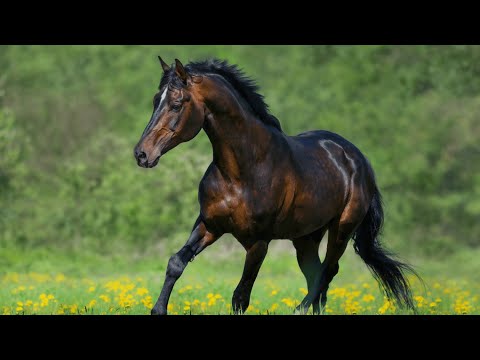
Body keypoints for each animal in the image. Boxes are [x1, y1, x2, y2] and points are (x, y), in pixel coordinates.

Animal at [133, 57, 418, 316]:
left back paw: (299, 309)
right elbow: (176, 263)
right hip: (306, 238)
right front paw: (158, 309)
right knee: (317, 274)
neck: (242, 171)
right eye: (155, 101)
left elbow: (240, 296)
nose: (142, 154)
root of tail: (359, 160)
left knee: (327, 270)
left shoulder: (258, 242)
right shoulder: (210, 225)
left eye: (176, 104)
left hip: (342, 230)